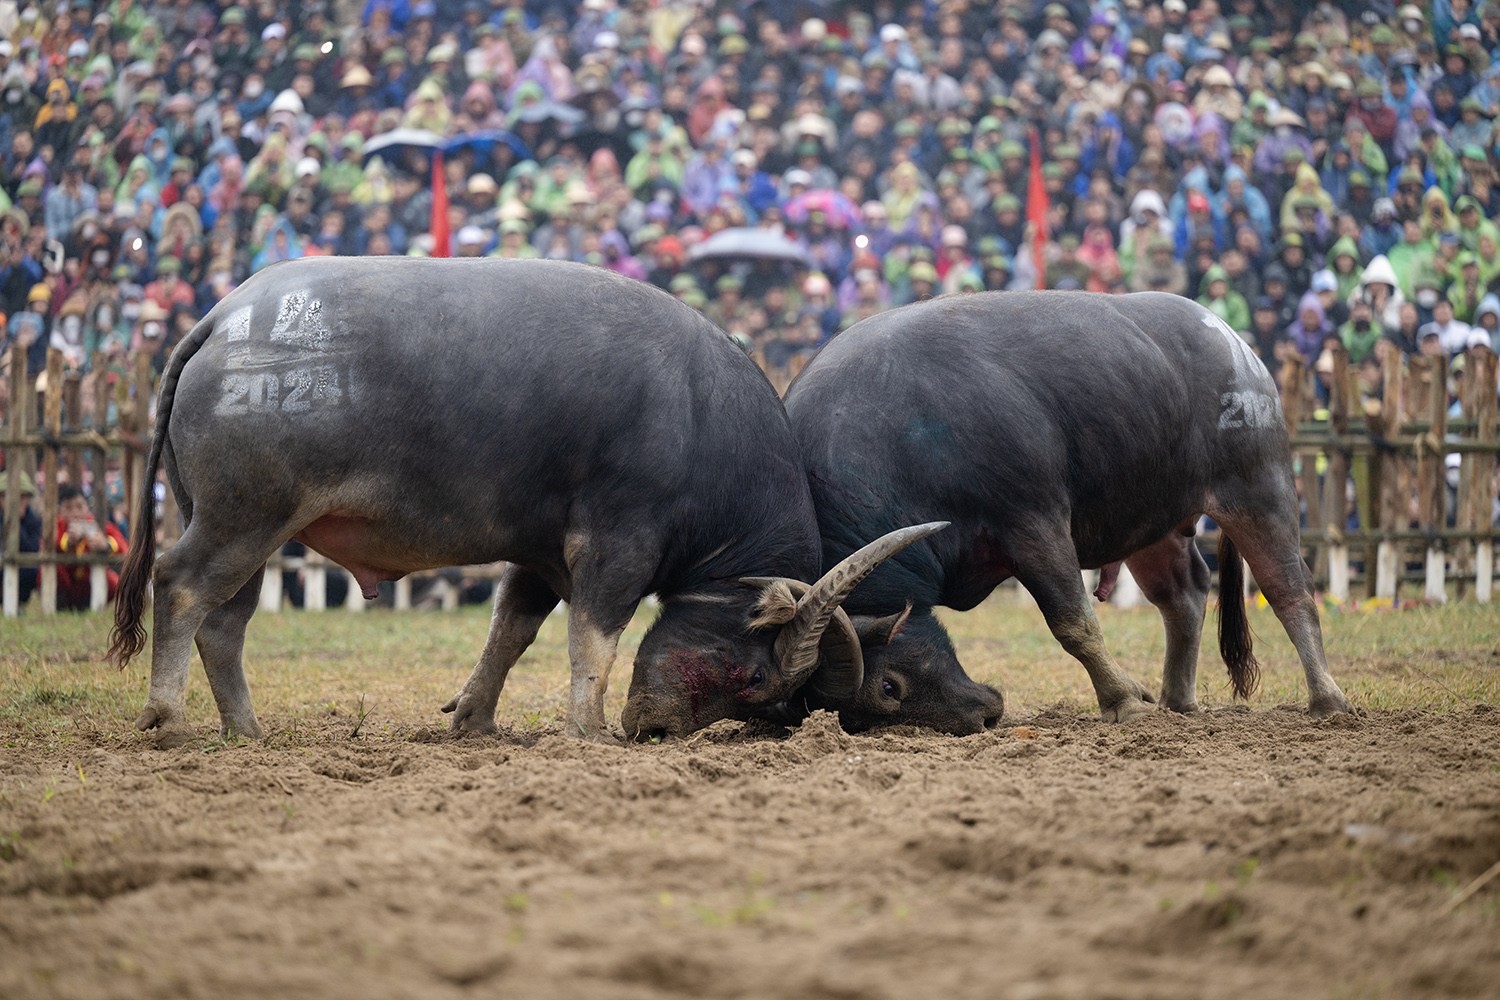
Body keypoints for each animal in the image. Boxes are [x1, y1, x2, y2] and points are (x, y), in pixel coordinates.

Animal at [108, 257, 936, 743]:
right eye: (757, 679)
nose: (657, 731)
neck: (699, 415)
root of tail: (223, 317)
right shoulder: (615, 546)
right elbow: (593, 641)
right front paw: (590, 728)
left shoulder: (539, 554)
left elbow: (511, 632)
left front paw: (474, 719)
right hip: (243, 518)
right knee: (182, 587)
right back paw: (167, 718)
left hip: (250, 526)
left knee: (226, 623)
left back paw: (246, 732)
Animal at [621, 289, 1350, 734]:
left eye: (886, 689)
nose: (987, 714)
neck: (903, 434)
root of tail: (1232, 340)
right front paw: (1141, 700)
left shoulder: (1033, 521)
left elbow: (1074, 622)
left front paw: (1123, 703)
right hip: (1153, 525)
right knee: (1186, 596)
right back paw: (1177, 699)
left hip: (1259, 485)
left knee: (1290, 591)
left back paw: (1327, 699)